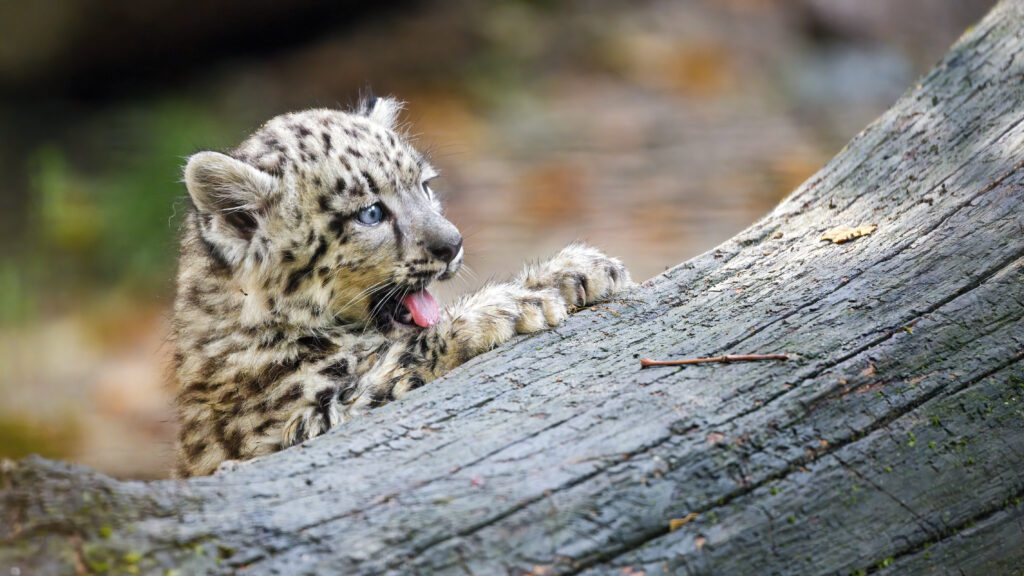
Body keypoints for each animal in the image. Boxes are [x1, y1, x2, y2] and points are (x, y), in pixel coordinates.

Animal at [172, 95, 632, 476]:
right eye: (371, 213)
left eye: (425, 185)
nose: (453, 243)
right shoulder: (299, 423)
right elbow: (406, 356)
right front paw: (508, 307)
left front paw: (578, 270)